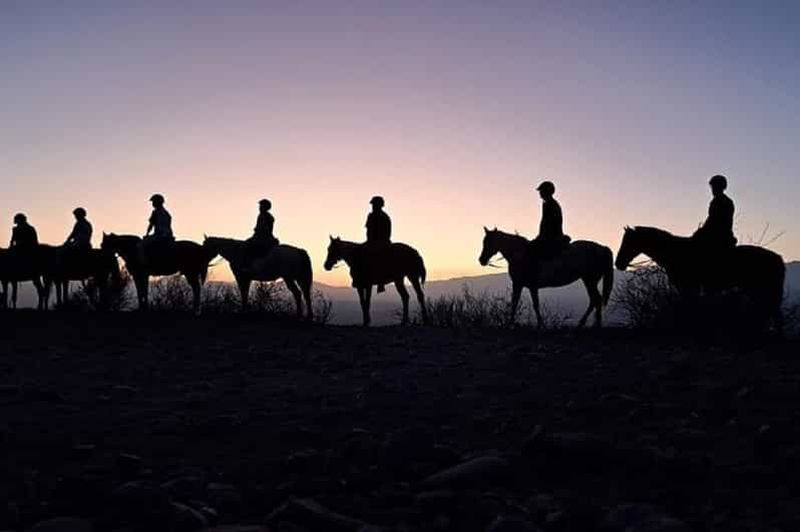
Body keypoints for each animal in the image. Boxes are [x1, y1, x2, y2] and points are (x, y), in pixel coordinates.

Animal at [478, 227, 614, 328]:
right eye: (484, 242)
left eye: (489, 242)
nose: (482, 260)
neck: (520, 254)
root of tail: (602, 248)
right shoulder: (526, 286)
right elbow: (520, 303)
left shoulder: (521, 285)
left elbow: (524, 304)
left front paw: (515, 324)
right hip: (589, 281)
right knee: (594, 300)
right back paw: (587, 324)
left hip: (590, 280)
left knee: (596, 299)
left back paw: (593, 325)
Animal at [615, 226, 785, 330]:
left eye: (627, 242)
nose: (618, 263)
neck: (674, 252)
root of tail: (777, 257)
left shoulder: (685, 285)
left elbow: (688, 304)